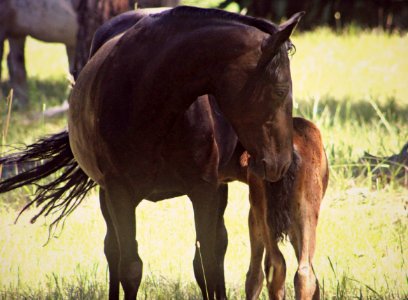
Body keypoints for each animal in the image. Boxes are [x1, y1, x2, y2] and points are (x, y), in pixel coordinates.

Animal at [0, 6, 302, 298]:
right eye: (280, 91)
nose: (282, 163)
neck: (147, 99)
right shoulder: (119, 194)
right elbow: (130, 267)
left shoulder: (204, 190)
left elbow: (207, 264)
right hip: (105, 194)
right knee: (112, 250)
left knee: (216, 248)